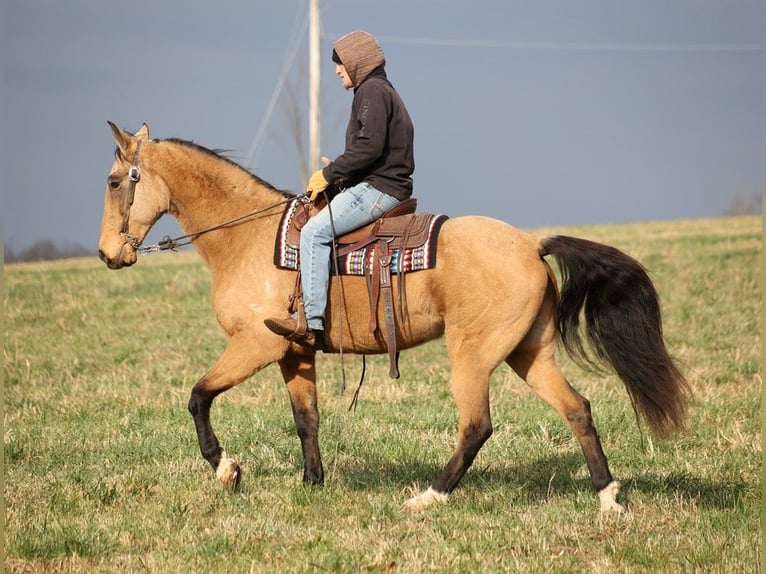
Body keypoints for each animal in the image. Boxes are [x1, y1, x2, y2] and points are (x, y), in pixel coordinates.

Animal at [99, 121, 692, 512]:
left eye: (114, 181)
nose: (107, 255)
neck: (249, 237)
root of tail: (531, 244)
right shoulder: (293, 352)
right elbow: (306, 420)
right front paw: (312, 484)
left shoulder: (256, 346)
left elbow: (198, 396)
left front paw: (226, 469)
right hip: (528, 353)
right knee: (577, 409)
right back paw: (609, 500)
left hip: (473, 355)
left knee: (477, 426)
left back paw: (429, 498)